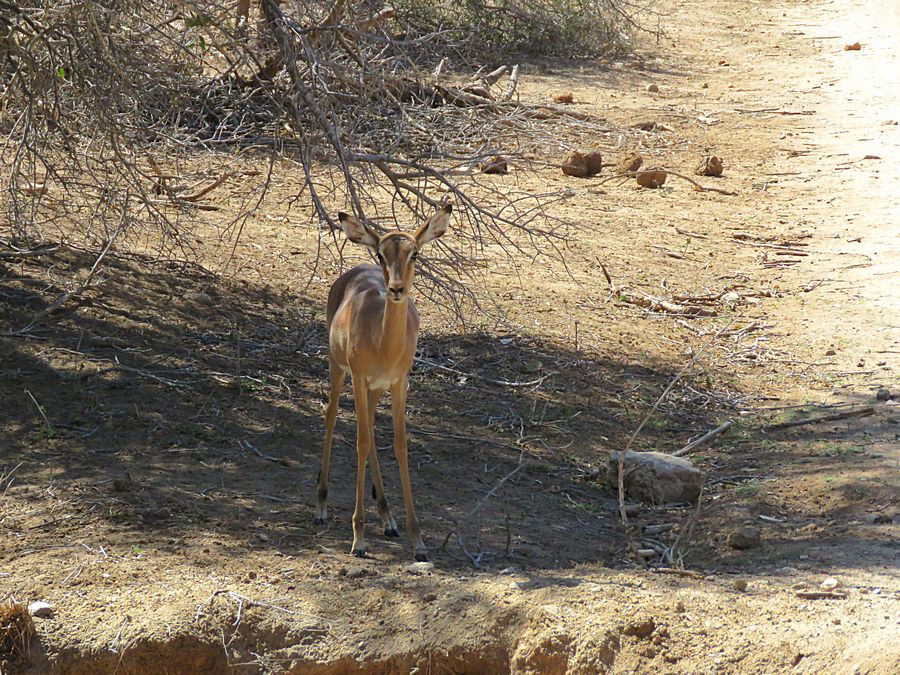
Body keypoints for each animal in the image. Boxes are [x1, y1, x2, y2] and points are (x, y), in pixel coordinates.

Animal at [316, 204, 453, 561]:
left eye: (415, 253)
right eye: (381, 253)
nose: (396, 289)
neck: (384, 344)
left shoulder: (399, 382)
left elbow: (400, 445)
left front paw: (418, 541)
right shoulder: (359, 376)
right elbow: (361, 442)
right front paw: (358, 538)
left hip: (375, 389)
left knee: (372, 428)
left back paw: (388, 517)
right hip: (338, 368)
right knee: (332, 417)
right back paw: (321, 505)